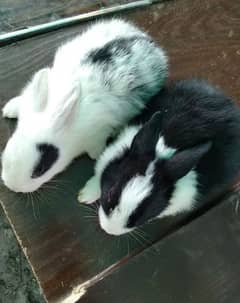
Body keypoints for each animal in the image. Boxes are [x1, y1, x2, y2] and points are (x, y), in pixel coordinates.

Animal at [0, 19, 168, 194]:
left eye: (40, 170)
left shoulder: (96, 135)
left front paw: (96, 156)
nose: (12, 186)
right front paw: (8, 109)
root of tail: (148, 40)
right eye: (8, 146)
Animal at [78, 79, 240, 236]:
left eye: (143, 212)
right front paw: (85, 196)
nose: (109, 230)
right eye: (111, 192)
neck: (163, 150)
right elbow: (97, 178)